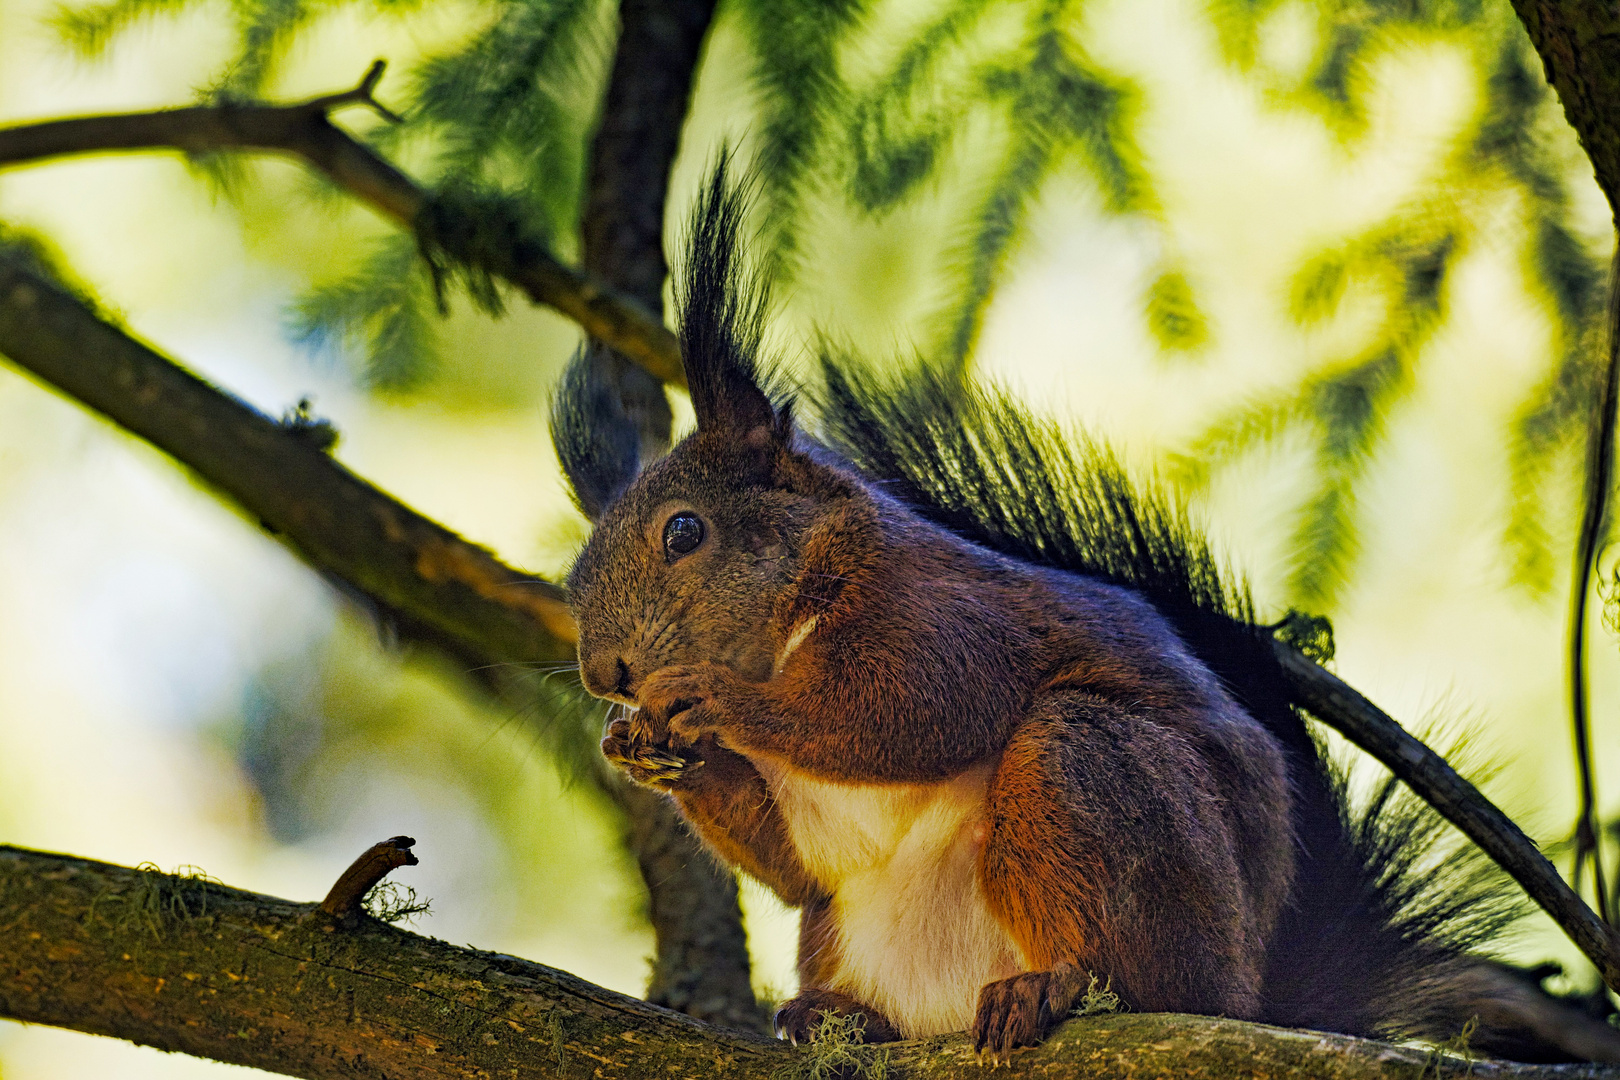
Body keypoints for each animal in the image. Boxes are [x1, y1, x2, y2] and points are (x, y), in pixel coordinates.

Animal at [550, 162, 1620, 1062]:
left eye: (684, 533)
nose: (605, 672)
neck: (788, 624)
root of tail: (1253, 992)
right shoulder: (815, 827)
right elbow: (794, 862)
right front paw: (635, 745)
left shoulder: (939, 618)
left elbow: (896, 718)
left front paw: (707, 698)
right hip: (848, 932)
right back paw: (841, 1017)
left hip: (1096, 789)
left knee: (1121, 938)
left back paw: (1054, 986)